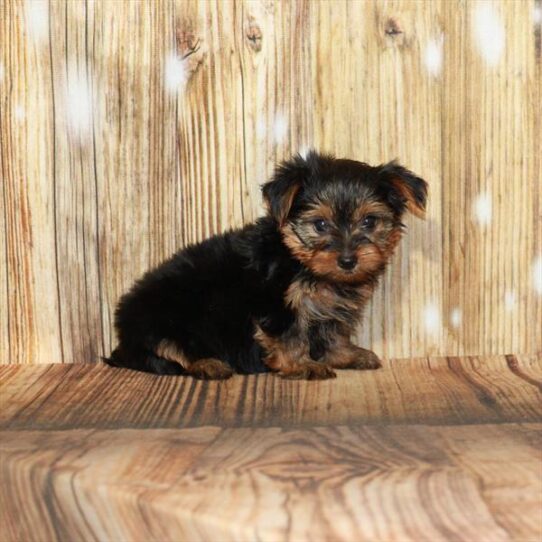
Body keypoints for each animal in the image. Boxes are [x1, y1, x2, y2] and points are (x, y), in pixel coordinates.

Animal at [106, 152, 430, 382]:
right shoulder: (276, 302)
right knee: (168, 347)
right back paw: (208, 364)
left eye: (369, 222)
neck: (302, 263)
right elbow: (290, 336)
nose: (348, 260)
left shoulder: (333, 307)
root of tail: (124, 332)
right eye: (320, 225)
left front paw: (346, 355)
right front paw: (302, 365)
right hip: (165, 314)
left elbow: (333, 332)